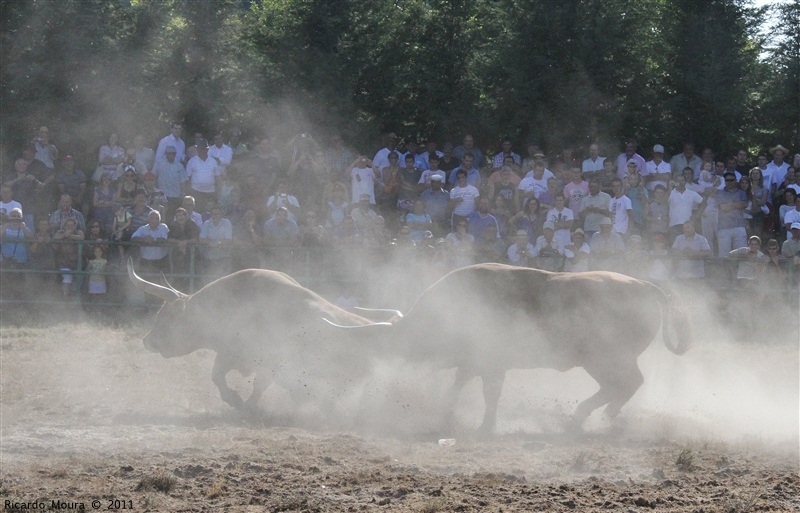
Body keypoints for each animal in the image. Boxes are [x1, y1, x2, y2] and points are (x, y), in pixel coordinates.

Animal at [125, 258, 394, 414]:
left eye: (166, 316)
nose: (147, 340)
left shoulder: (257, 358)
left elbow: (235, 380)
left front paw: (241, 403)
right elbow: (222, 377)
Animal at [328, 262, 692, 434]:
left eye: (399, 342)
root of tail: (644, 286)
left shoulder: (490, 365)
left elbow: (489, 394)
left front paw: (484, 426)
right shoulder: (476, 363)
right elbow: (459, 386)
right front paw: (446, 414)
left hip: (606, 358)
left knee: (627, 384)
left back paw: (585, 417)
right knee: (621, 386)